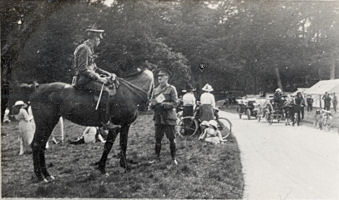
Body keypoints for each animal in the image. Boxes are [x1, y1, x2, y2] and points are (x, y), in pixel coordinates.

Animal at [8, 68, 154, 181]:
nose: (149, 105)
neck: (128, 92)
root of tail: (37, 88)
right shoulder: (117, 126)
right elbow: (109, 145)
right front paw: (104, 168)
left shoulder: (125, 125)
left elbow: (123, 144)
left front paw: (123, 166)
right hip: (45, 122)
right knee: (36, 144)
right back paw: (40, 176)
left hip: (50, 122)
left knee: (41, 145)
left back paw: (47, 175)